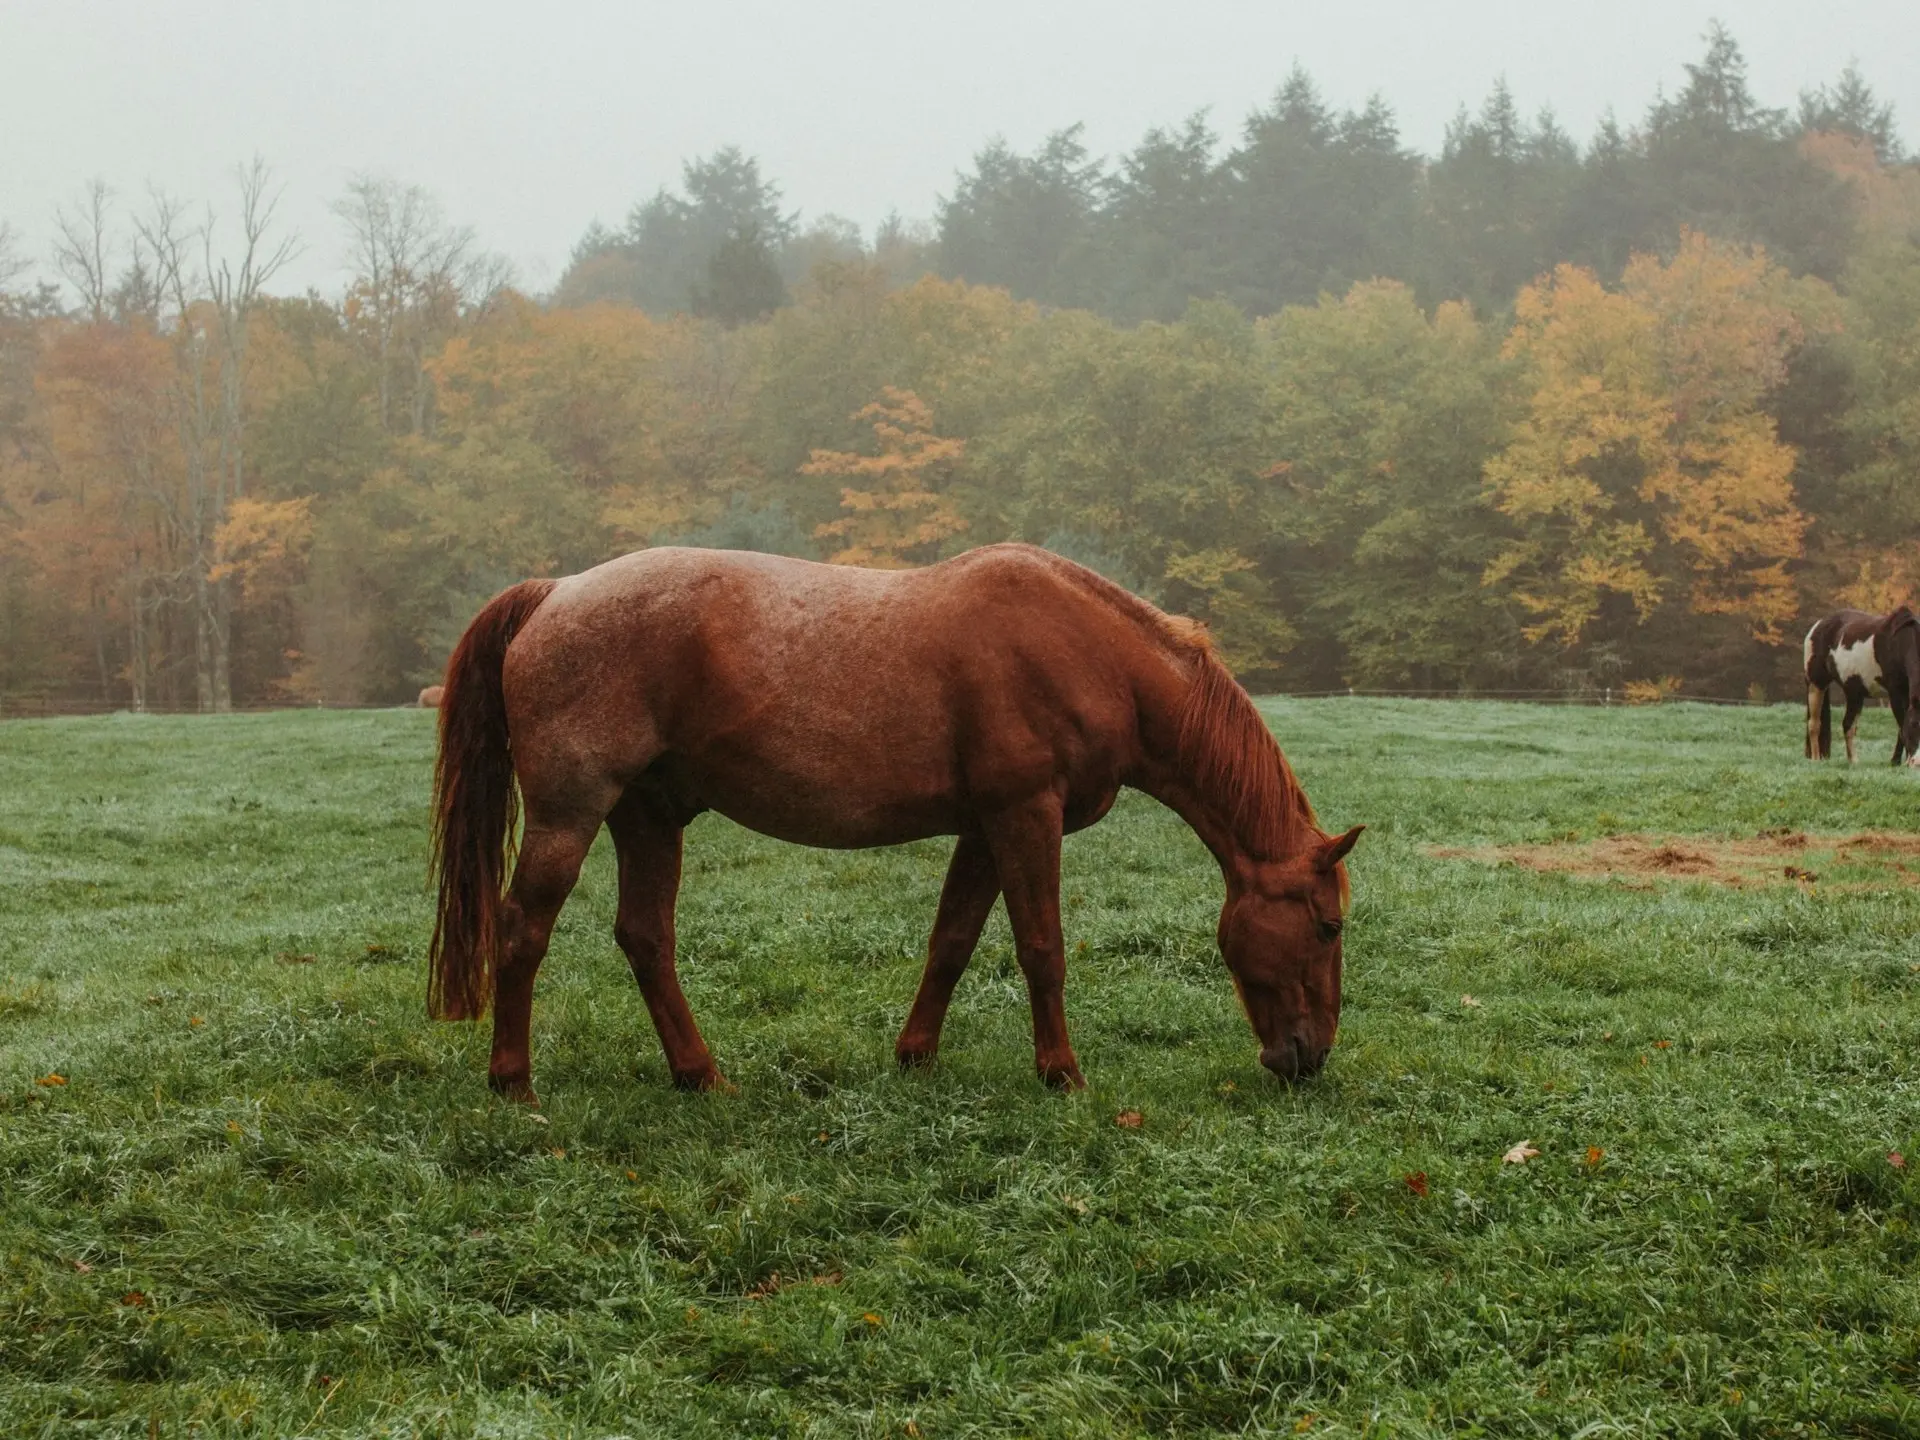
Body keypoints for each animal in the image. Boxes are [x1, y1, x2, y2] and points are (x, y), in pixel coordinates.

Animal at [432, 545, 1367, 1098]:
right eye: (1326, 926)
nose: (1308, 1056)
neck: (1092, 653)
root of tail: (555, 593)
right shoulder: (1025, 815)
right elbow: (1043, 948)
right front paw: (1061, 1073)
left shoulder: (987, 827)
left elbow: (952, 941)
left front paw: (916, 1054)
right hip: (571, 812)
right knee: (523, 930)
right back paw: (514, 1083)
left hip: (649, 816)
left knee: (645, 938)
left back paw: (700, 1076)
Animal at [1797, 610, 1920, 768]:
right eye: (1914, 725)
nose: (1917, 762)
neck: (1900, 641)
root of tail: (1818, 625)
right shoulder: (1895, 694)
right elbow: (1901, 726)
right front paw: (1899, 761)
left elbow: (1901, 728)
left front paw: (1896, 762)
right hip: (1816, 684)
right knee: (1814, 724)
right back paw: (1816, 760)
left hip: (1854, 694)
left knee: (1848, 725)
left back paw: (1853, 761)